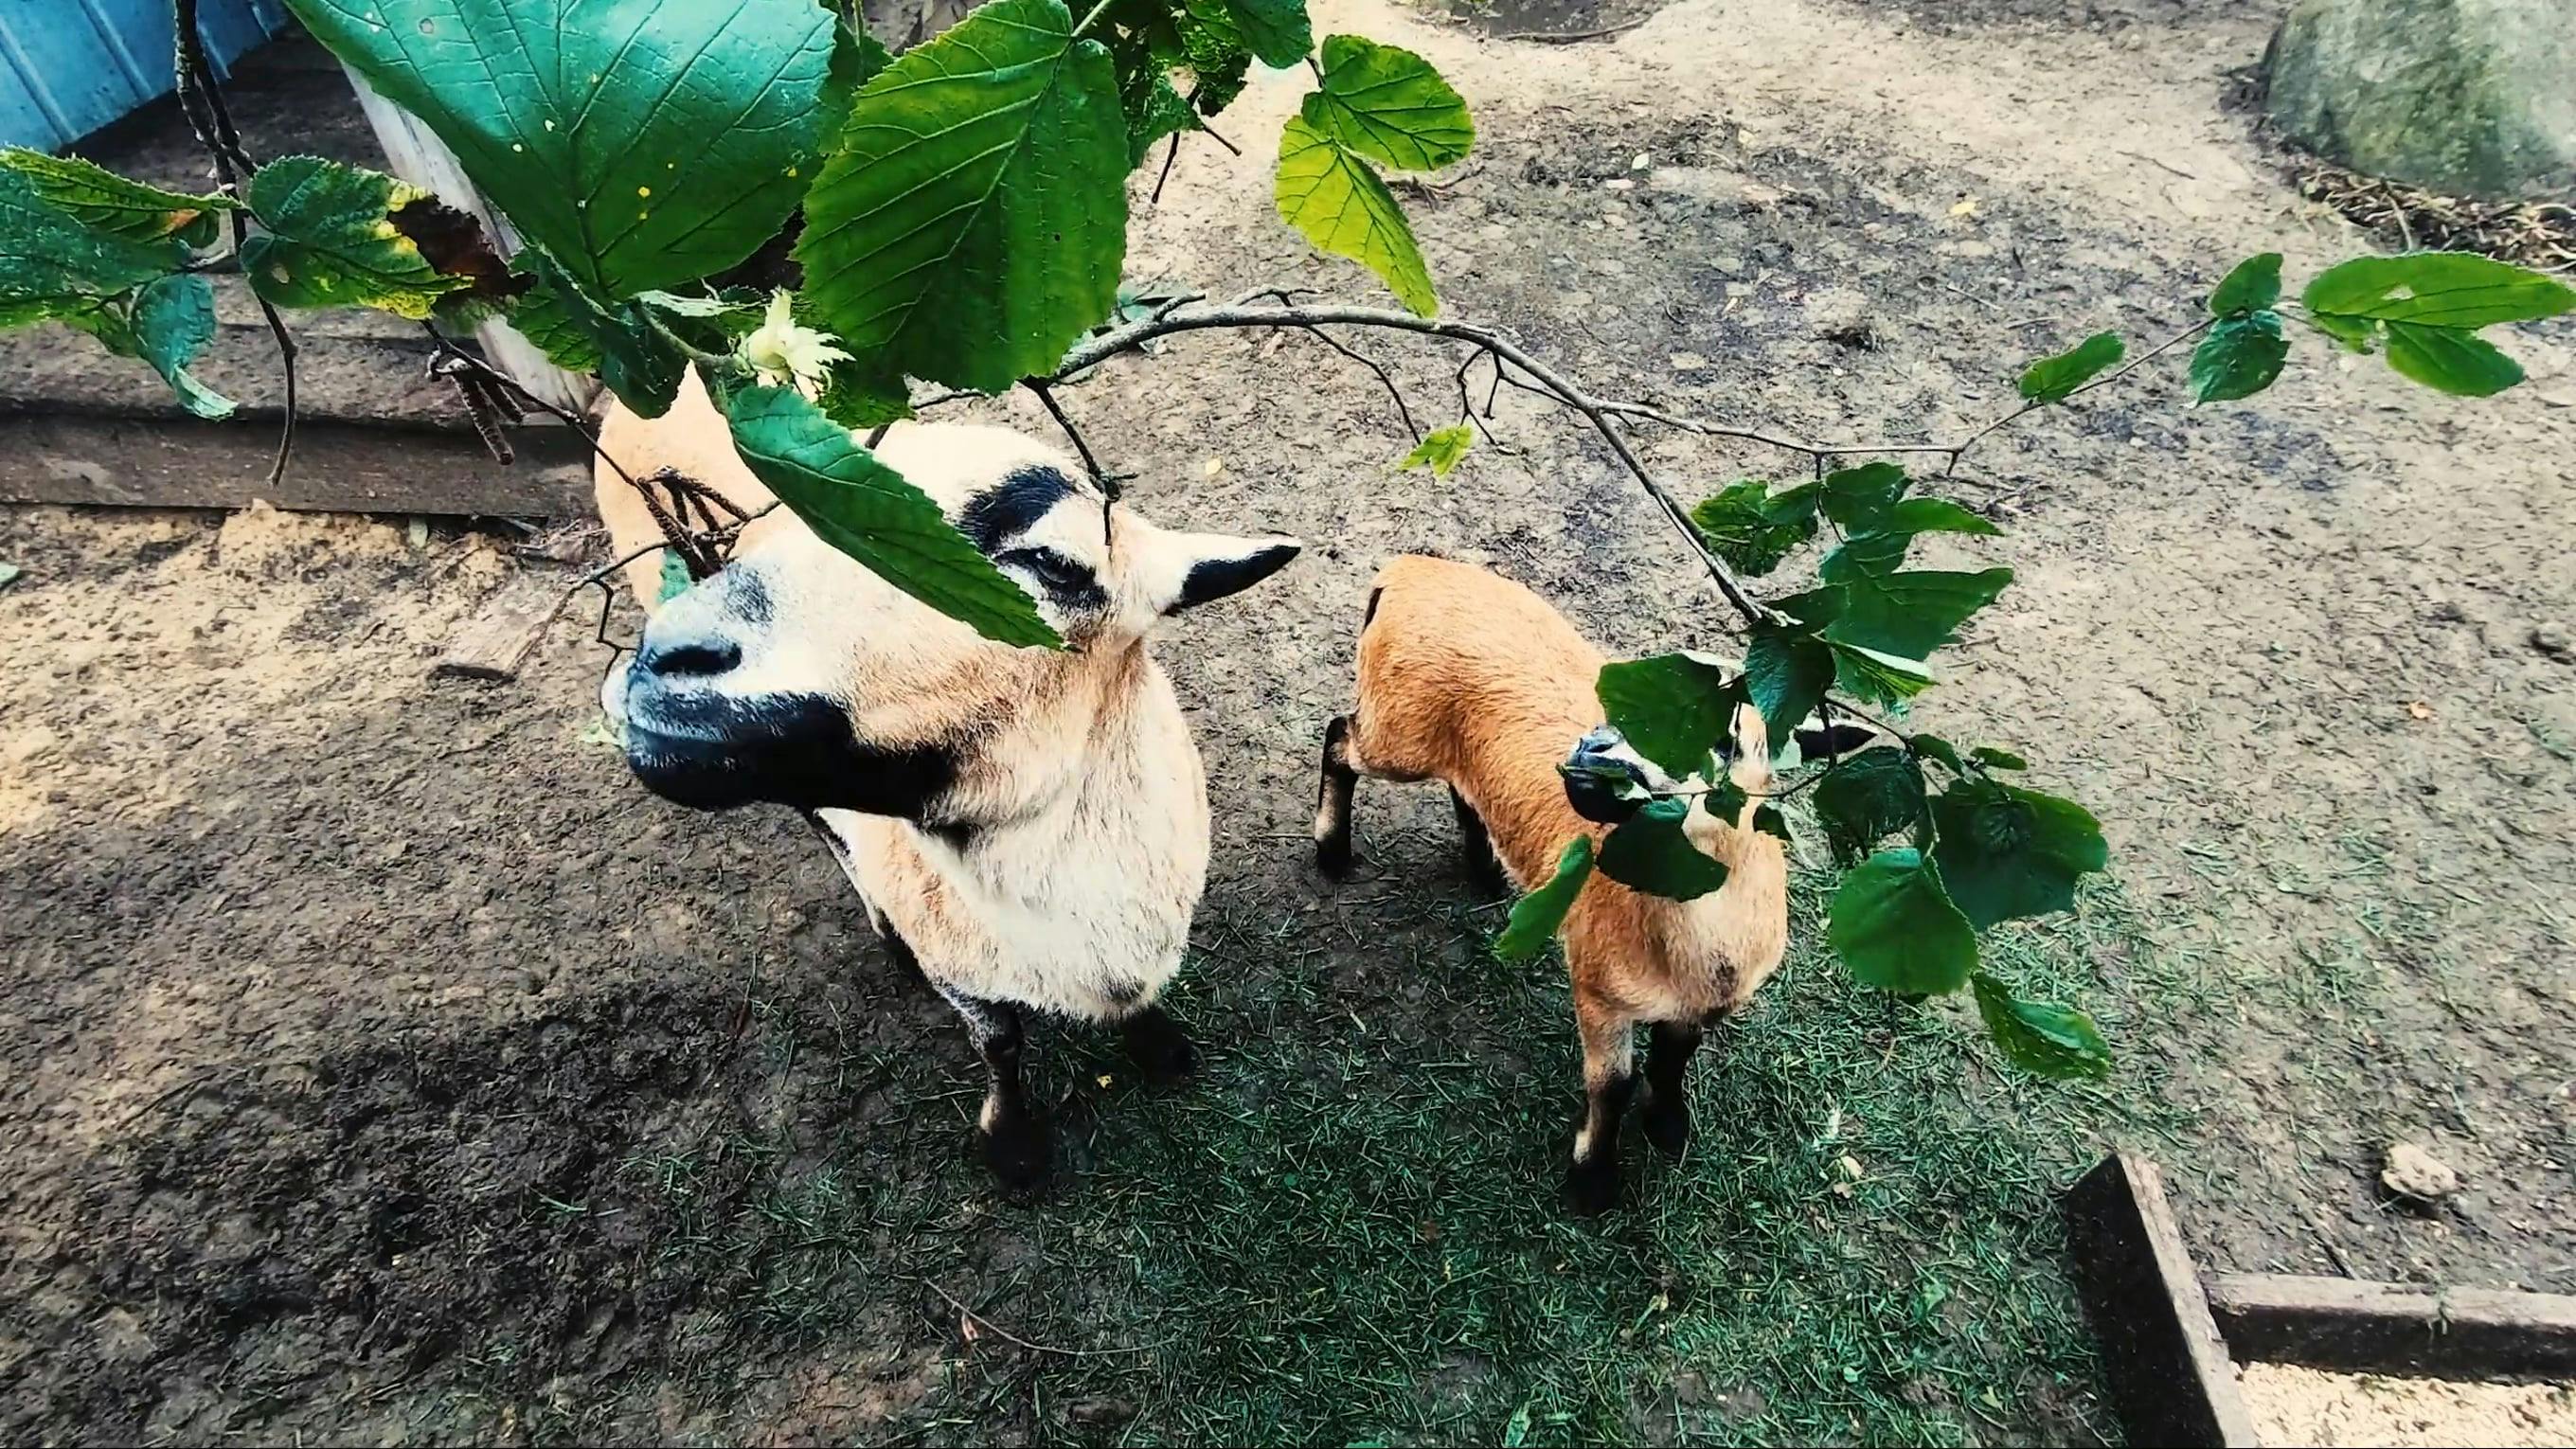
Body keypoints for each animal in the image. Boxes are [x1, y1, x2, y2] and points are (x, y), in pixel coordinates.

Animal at [595, 372, 1300, 1188]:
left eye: (1054, 564)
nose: (666, 656)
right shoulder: (960, 967)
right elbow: (1000, 1043)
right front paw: (1014, 1149)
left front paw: (1162, 1050)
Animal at [1313, 555, 1840, 1214]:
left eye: (1726, 740)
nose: (1591, 751)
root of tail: (1407, 571)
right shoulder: (1598, 989)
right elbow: (1613, 1084)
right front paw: (1593, 1183)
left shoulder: (1701, 1005)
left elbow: (1674, 1060)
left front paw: (1668, 1128)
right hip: (1398, 725)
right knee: (1339, 736)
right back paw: (1331, 852)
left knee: (1458, 781)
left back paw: (1485, 870)